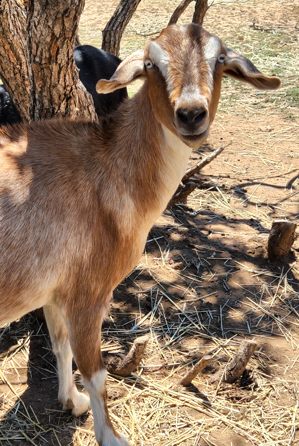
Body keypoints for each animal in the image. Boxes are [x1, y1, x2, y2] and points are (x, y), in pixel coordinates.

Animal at [0, 24, 282, 446]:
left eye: (219, 60)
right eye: (151, 65)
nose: (191, 113)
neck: (106, 173)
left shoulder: (56, 290)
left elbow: (60, 346)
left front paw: (72, 402)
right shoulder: (89, 291)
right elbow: (96, 371)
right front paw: (111, 436)